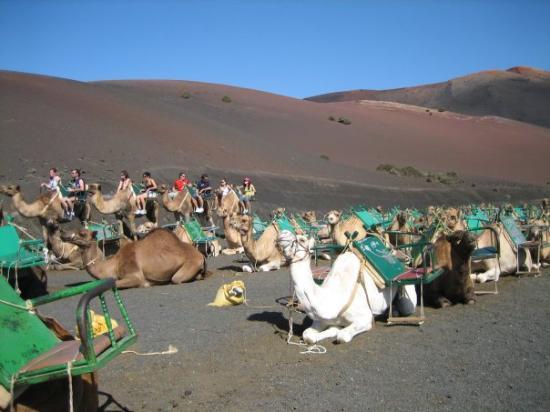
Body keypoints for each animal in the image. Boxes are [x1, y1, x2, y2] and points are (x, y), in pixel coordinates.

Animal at [64, 227, 207, 288]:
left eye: (82, 233)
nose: (63, 233)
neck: (114, 264)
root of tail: (201, 256)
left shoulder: (134, 275)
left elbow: (115, 283)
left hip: (188, 267)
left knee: (177, 279)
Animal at [278, 230, 416, 342]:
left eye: (302, 239)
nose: (282, 233)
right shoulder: (321, 320)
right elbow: (307, 335)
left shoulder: (364, 318)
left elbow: (342, 336)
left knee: (407, 307)